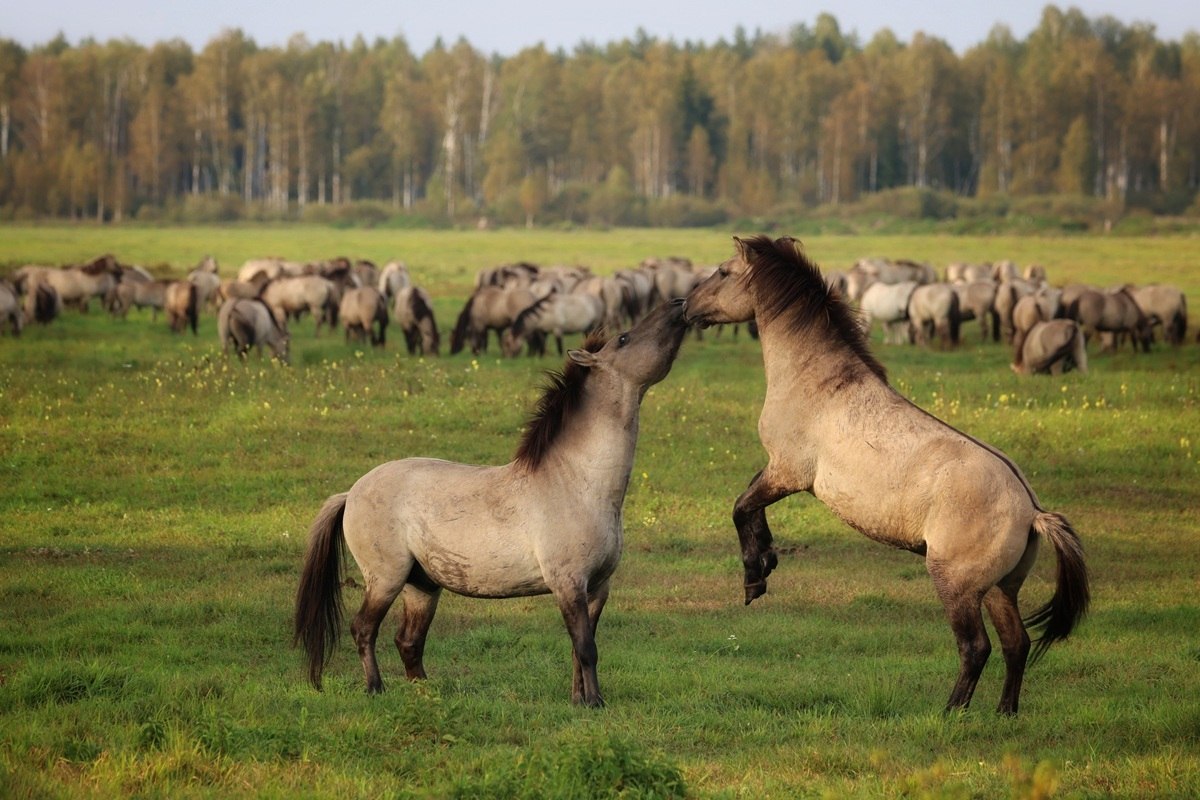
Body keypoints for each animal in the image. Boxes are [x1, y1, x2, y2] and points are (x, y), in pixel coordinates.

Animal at [293, 300, 689, 706]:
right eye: (624, 338)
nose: (679, 304)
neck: (578, 484)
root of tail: (350, 493)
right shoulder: (569, 584)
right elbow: (586, 648)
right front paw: (594, 703)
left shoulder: (596, 589)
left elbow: (579, 651)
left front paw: (579, 700)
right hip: (386, 579)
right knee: (364, 629)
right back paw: (376, 688)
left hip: (422, 586)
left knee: (408, 641)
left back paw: (426, 692)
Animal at [683, 236, 1089, 715]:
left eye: (723, 272)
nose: (685, 305)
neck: (815, 381)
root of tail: (1032, 512)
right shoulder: (779, 470)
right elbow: (750, 504)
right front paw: (766, 561)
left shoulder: (788, 472)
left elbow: (741, 506)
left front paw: (754, 577)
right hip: (998, 588)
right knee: (1016, 644)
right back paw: (1004, 713)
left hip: (957, 586)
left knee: (976, 647)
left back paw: (950, 714)